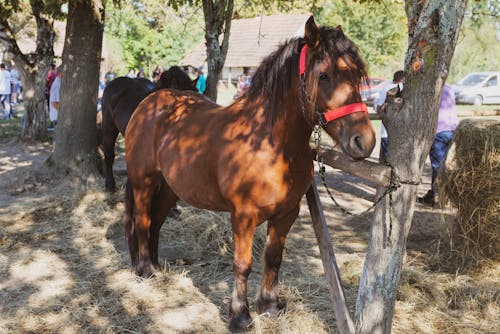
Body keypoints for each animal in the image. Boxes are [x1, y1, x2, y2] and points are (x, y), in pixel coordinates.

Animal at [124, 17, 376, 330]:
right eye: (325, 75)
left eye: (357, 74)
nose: (363, 141)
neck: (268, 143)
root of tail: (149, 103)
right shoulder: (243, 217)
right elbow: (243, 265)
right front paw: (240, 316)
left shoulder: (287, 213)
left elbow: (273, 258)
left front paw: (268, 306)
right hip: (143, 182)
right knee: (142, 220)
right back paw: (144, 269)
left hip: (171, 188)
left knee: (156, 221)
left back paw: (157, 266)